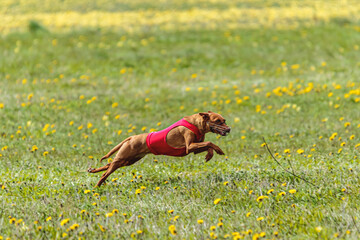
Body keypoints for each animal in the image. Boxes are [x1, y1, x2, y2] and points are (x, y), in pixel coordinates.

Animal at [88, 111, 232, 188]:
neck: (196, 123)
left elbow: (208, 145)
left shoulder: (194, 148)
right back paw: (97, 186)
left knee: (108, 164)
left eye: (224, 120)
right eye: (218, 121)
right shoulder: (189, 146)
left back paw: (93, 170)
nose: (229, 129)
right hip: (123, 158)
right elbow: (210, 142)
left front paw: (210, 155)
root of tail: (132, 137)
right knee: (106, 173)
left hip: (129, 160)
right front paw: (218, 150)